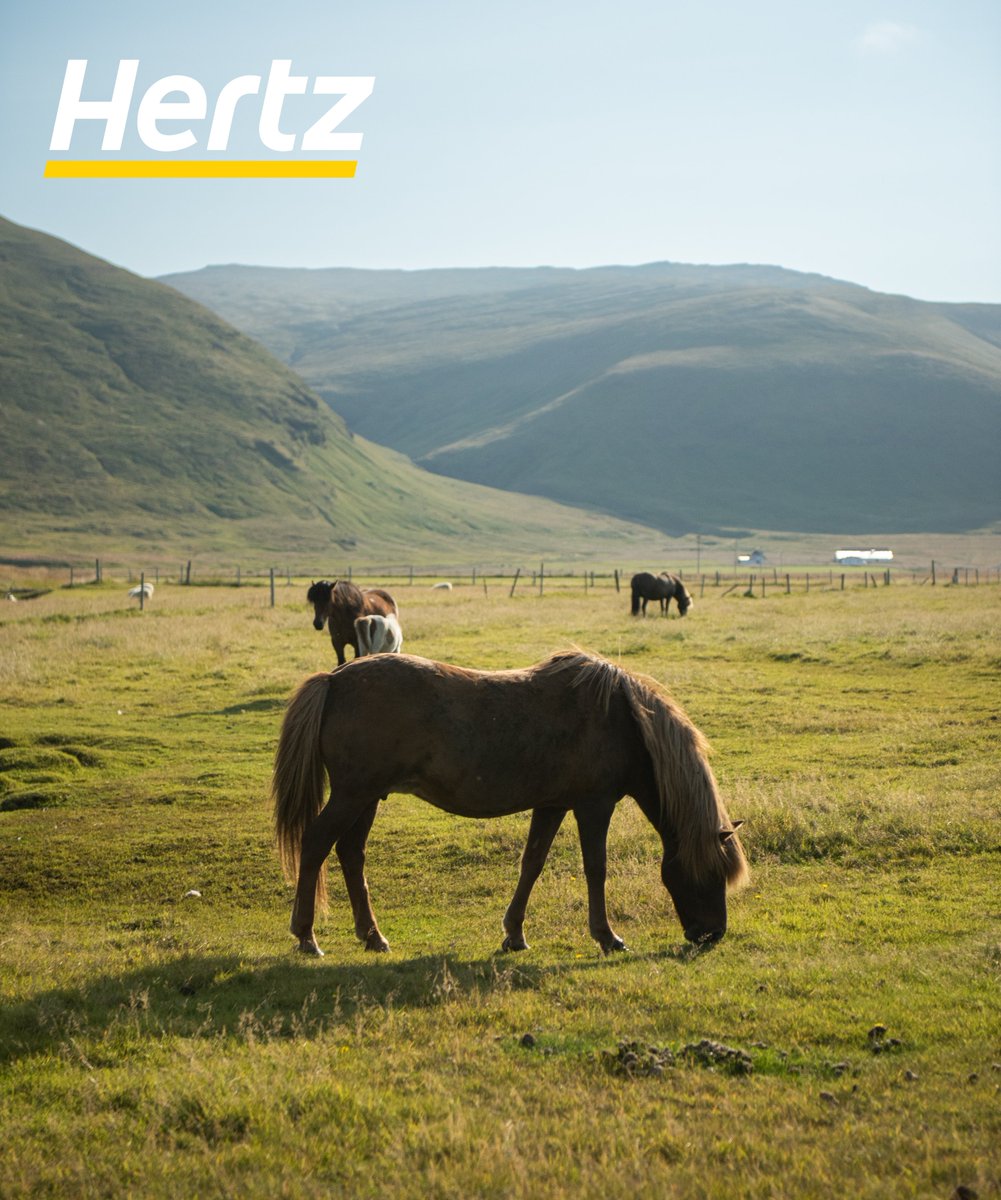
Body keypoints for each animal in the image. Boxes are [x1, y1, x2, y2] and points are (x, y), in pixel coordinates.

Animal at [272, 650, 747, 957]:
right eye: (711, 874)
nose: (712, 935)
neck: (624, 720)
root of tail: (334, 679)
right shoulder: (593, 806)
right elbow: (596, 868)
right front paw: (606, 937)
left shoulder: (553, 805)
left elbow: (532, 863)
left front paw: (514, 935)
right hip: (352, 795)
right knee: (316, 845)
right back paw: (306, 937)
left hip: (367, 797)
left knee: (351, 854)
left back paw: (373, 936)